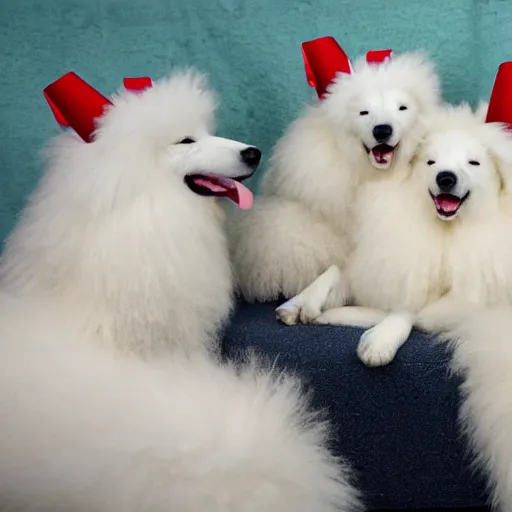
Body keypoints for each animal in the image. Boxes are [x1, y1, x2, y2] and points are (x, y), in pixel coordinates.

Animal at [278, 103, 512, 368]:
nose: (445, 177)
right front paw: (301, 301)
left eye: (474, 163)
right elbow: (339, 269)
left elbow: (408, 309)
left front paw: (380, 337)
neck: (448, 227)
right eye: (431, 162)